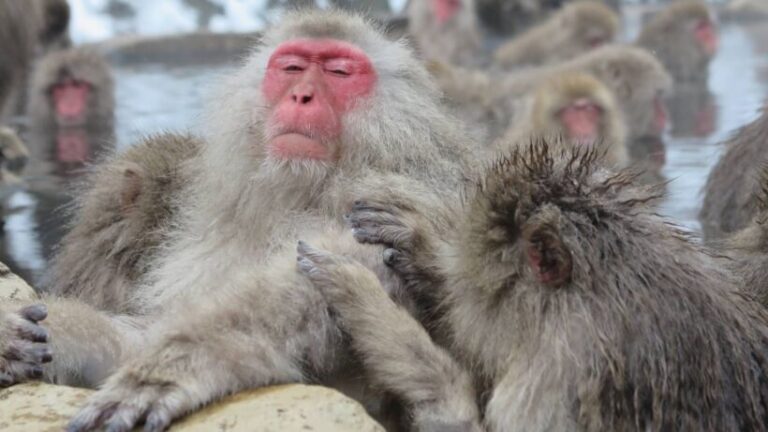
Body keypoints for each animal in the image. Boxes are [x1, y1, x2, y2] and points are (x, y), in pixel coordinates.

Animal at [0, 10, 477, 432]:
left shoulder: (410, 192)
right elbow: (136, 335)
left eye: (340, 72)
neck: (299, 191)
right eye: (292, 68)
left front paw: (181, 364)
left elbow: (351, 263)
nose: (302, 96)